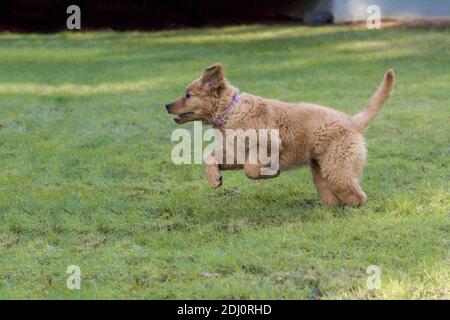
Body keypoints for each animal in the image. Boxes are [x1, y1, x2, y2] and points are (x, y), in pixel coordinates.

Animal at [166, 64, 394, 208]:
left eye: (188, 95)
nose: (166, 105)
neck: (231, 109)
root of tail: (353, 122)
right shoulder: (236, 152)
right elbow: (210, 156)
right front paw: (215, 179)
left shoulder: (269, 143)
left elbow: (251, 169)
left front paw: (269, 173)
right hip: (321, 172)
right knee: (335, 197)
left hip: (337, 168)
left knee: (358, 195)